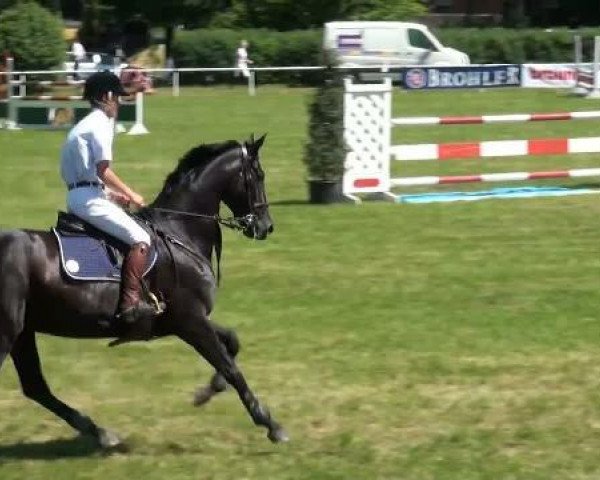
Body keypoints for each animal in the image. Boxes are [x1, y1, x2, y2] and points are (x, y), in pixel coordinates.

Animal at [0, 135, 288, 450]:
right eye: (258, 175)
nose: (266, 226)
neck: (180, 231)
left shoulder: (183, 320)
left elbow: (232, 343)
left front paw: (207, 392)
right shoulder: (190, 321)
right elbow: (231, 368)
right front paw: (270, 424)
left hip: (23, 331)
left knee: (35, 386)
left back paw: (101, 433)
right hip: (8, 331)